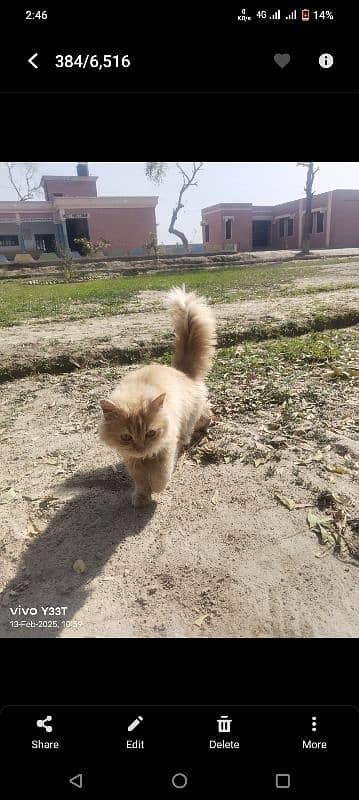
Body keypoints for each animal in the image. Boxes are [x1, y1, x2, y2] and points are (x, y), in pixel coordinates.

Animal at [99, 288, 217, 506]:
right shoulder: (131, 460)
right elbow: (140, 480)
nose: (140, 448)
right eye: (126, 437)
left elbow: (159, 476)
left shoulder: (166, 448)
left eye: (150, 433)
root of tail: (182, 372)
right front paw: (142, 496)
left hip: (189, 419)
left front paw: (156, 488)